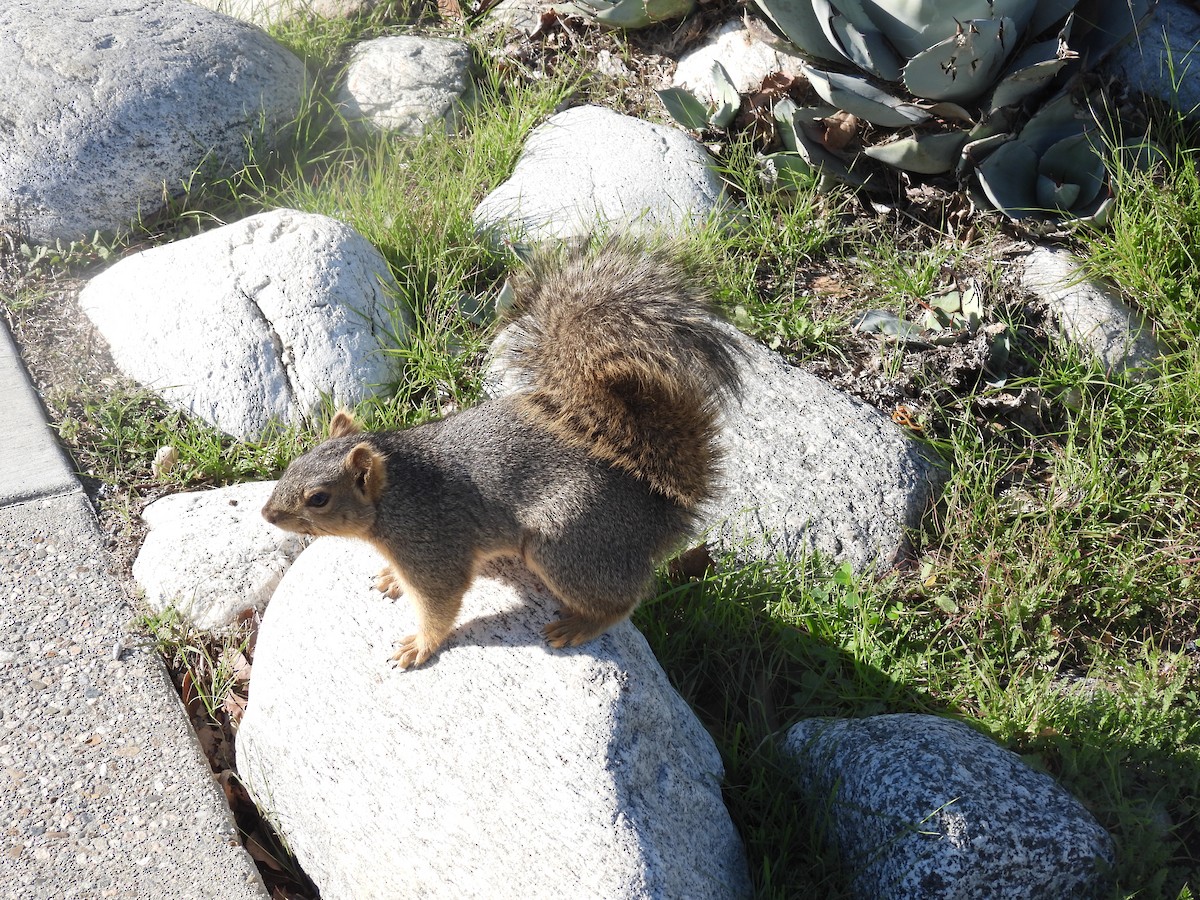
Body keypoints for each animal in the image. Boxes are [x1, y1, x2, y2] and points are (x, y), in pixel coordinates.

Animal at [261, 238, 743, 668]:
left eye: (318, 499)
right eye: (293, 463)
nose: (267, 514)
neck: (396, 493)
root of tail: (661, 514)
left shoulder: (434, 549)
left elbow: (440, 604)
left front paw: (418, 646)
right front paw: (391, 578)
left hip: (567, 543)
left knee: (620, 602)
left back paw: (579, 625)